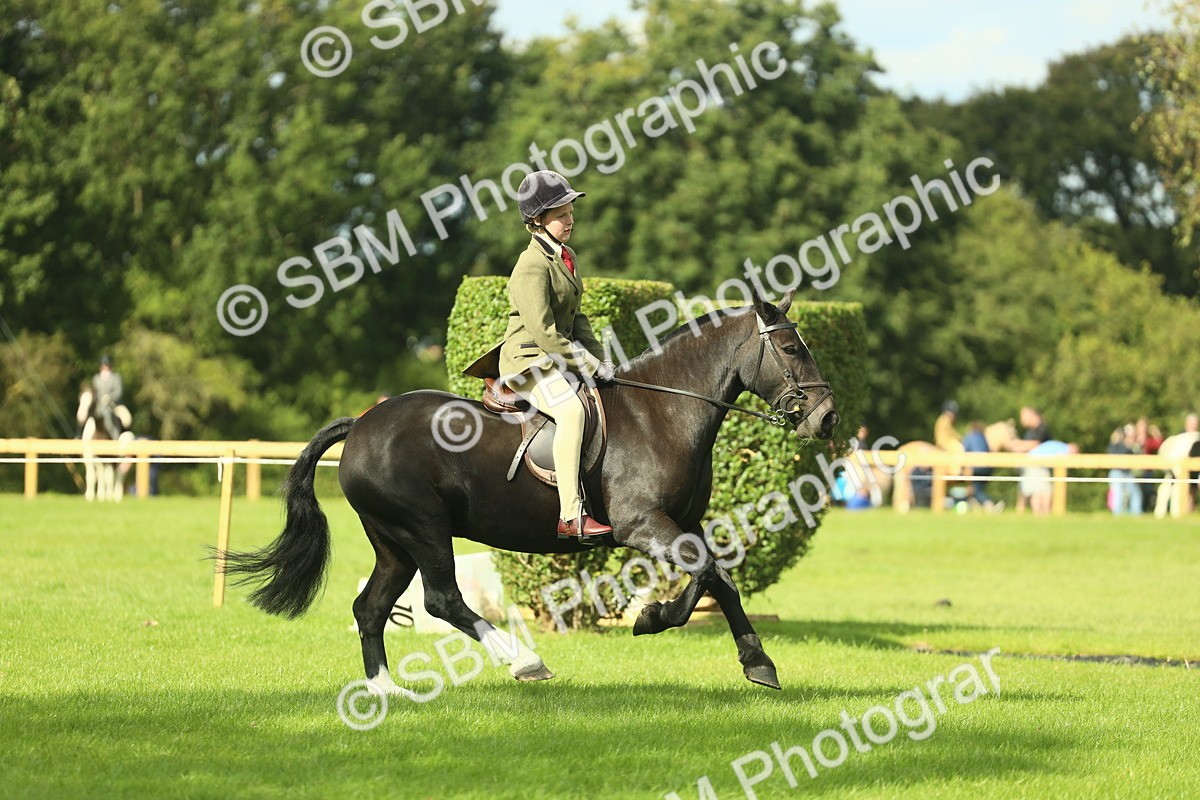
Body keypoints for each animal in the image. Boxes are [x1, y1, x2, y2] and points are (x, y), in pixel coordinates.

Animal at [219, 289, 839, 693]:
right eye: (790, 349)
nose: (828, 418)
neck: (664, 409)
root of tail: (364, 423)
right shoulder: (643, 525)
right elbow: (710, 574)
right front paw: (671, 625)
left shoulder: (680, 524)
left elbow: (716, 578)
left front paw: (734, 651)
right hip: (423, 529)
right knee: (442, 600)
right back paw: (524, 663)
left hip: (393, 541)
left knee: (370, 609)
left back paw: (386, 693)